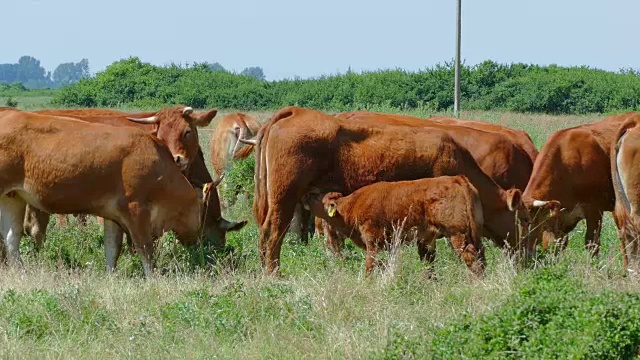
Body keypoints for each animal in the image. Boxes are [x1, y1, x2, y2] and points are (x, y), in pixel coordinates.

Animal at [0, 109, 216, 276]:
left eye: (187, 132)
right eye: (202, 213)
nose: (196, 241)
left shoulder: (113, 216)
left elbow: (112, 249)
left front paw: (111, 275)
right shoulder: (136, 211)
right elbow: (145, 249)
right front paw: (152, 278)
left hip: (12, 198)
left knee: (12, 238)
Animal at [302, 176, 482, 276]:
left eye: (316, 195)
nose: (305, 197)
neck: (351, 206)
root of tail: (457, 179)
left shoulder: (373, 241)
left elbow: (370, 265)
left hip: (458, 235)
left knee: (471, 258)